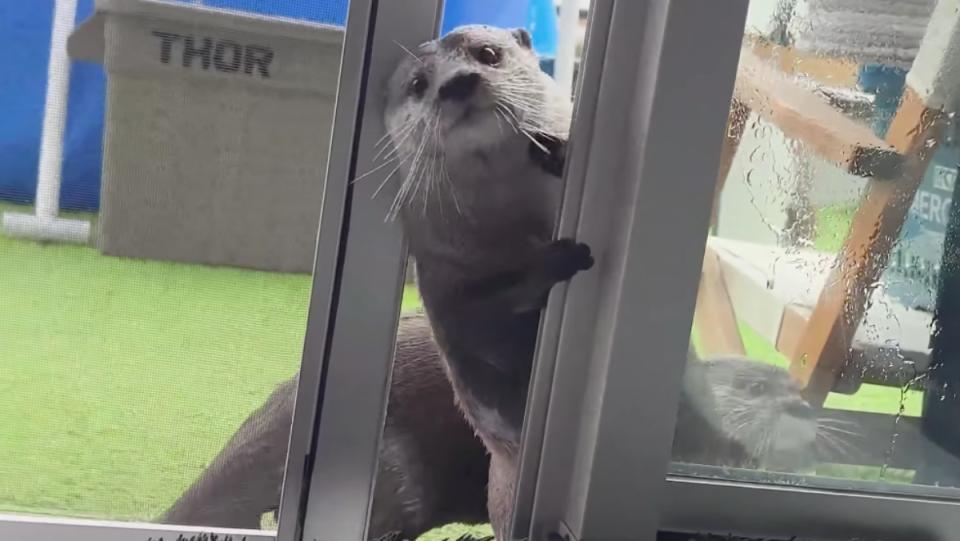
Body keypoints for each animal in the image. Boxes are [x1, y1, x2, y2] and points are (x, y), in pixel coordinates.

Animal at [382, 26, 592, 540]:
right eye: (418, 83)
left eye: (488, 53)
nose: (457, 83)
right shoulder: (447, 289)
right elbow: (487, 321)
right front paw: (555, 260)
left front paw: (555, 150)